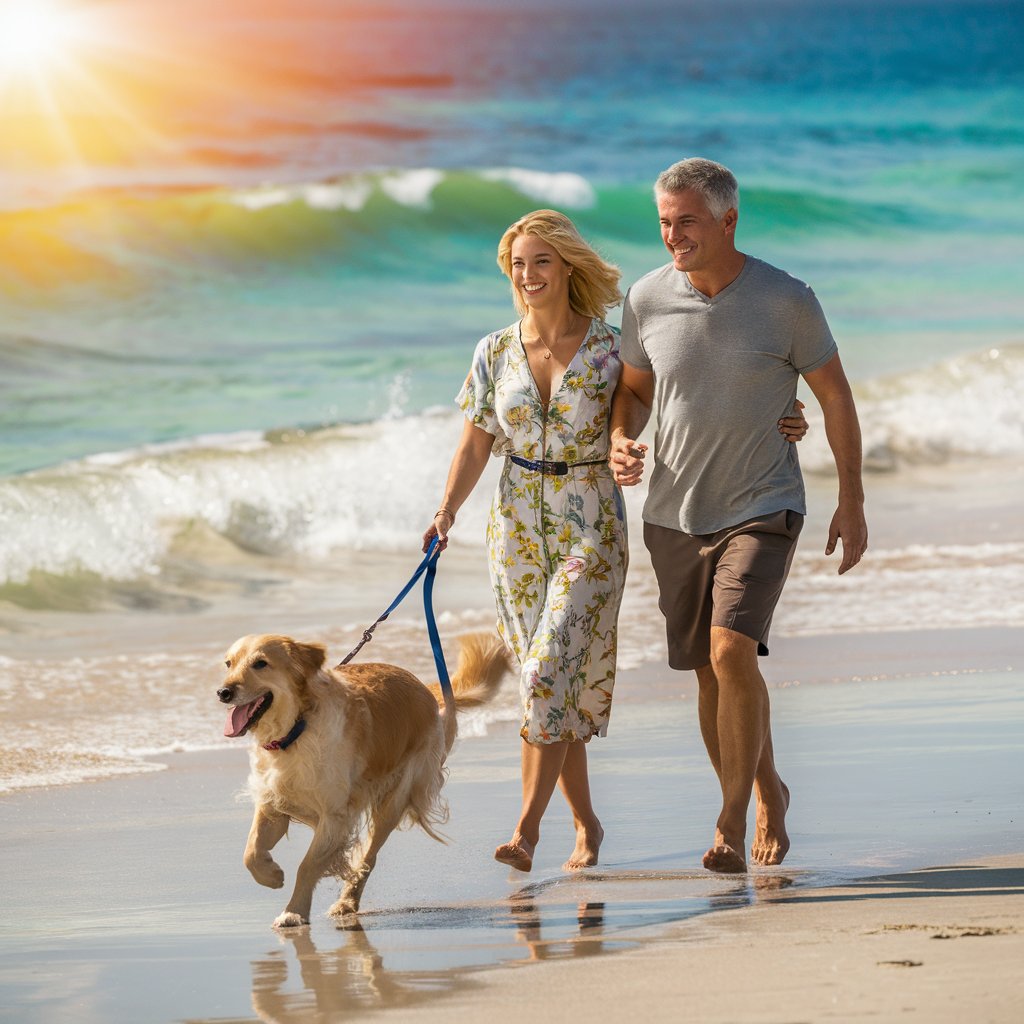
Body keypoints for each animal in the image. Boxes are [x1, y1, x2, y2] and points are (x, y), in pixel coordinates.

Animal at [218, 626, 509, 933]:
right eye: (228, 664)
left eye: (260, 664)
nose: (223, 692)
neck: (296, 730)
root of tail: (426, 691)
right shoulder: (274, 801)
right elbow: (250, 852)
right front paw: (272, 875)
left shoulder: (335, 815)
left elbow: (307, 865)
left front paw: (293, 912)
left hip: (396, 796)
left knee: (368, 857)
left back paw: (347, 902)